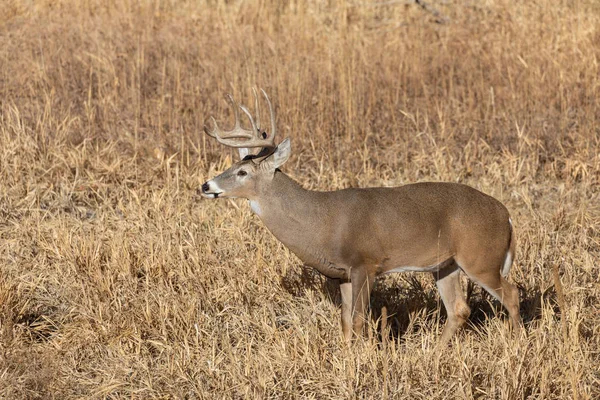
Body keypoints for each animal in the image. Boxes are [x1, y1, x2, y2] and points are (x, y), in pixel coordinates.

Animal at [200, 88, 520, 344]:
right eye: (231, 167)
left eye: (242, 172)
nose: (206, 186)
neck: (321, 221)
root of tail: (505, 216)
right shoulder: (341, 273)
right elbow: (344, 322)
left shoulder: (365, 262)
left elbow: (358, 320)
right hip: (446, 264)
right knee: (459, 309)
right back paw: (438, 353)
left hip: (480, 257)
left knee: (511, 294)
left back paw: (516, 343)